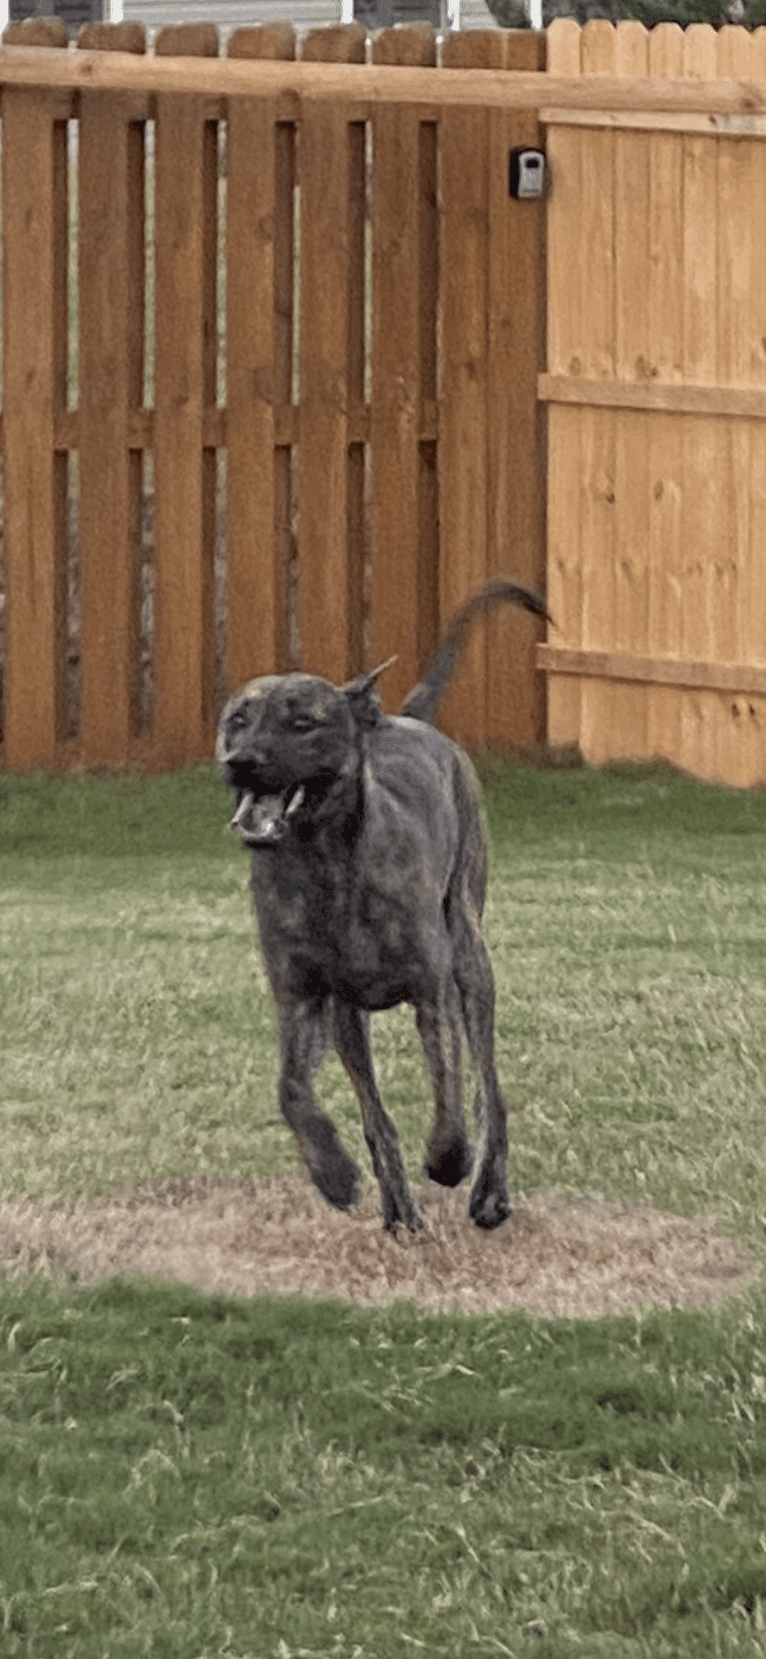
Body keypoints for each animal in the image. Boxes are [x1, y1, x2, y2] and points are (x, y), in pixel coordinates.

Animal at [218, 577, 547, 1227]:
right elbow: (294, 1092)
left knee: (488, 1088)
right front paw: (333, 1173)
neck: (325, 868)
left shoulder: (431, 990)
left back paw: (488, 1192)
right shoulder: (303, 998)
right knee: (377, 1112)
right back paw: (396, 1205)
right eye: (237, 720)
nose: (239, 762)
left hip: (471, 957)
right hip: (350, 1021)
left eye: (303, 723)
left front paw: (448, 1161)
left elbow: (449, 1094)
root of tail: (399, 718)